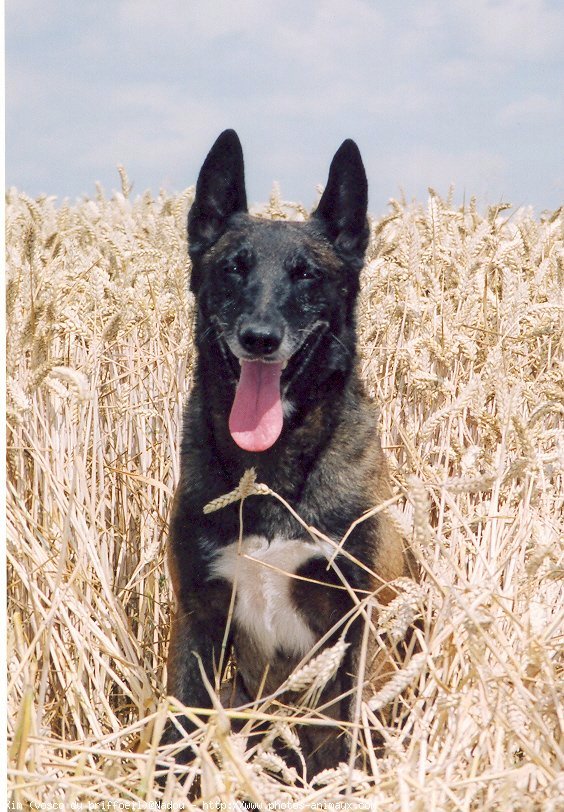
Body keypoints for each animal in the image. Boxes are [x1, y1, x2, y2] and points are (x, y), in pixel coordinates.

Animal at [161, 132, 408, 780]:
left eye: (305, 275)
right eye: (234, 267)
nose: (259, 338)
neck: (267, 470)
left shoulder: (358, 624)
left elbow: (353, 742)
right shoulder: (199, 616)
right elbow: (177, 737)